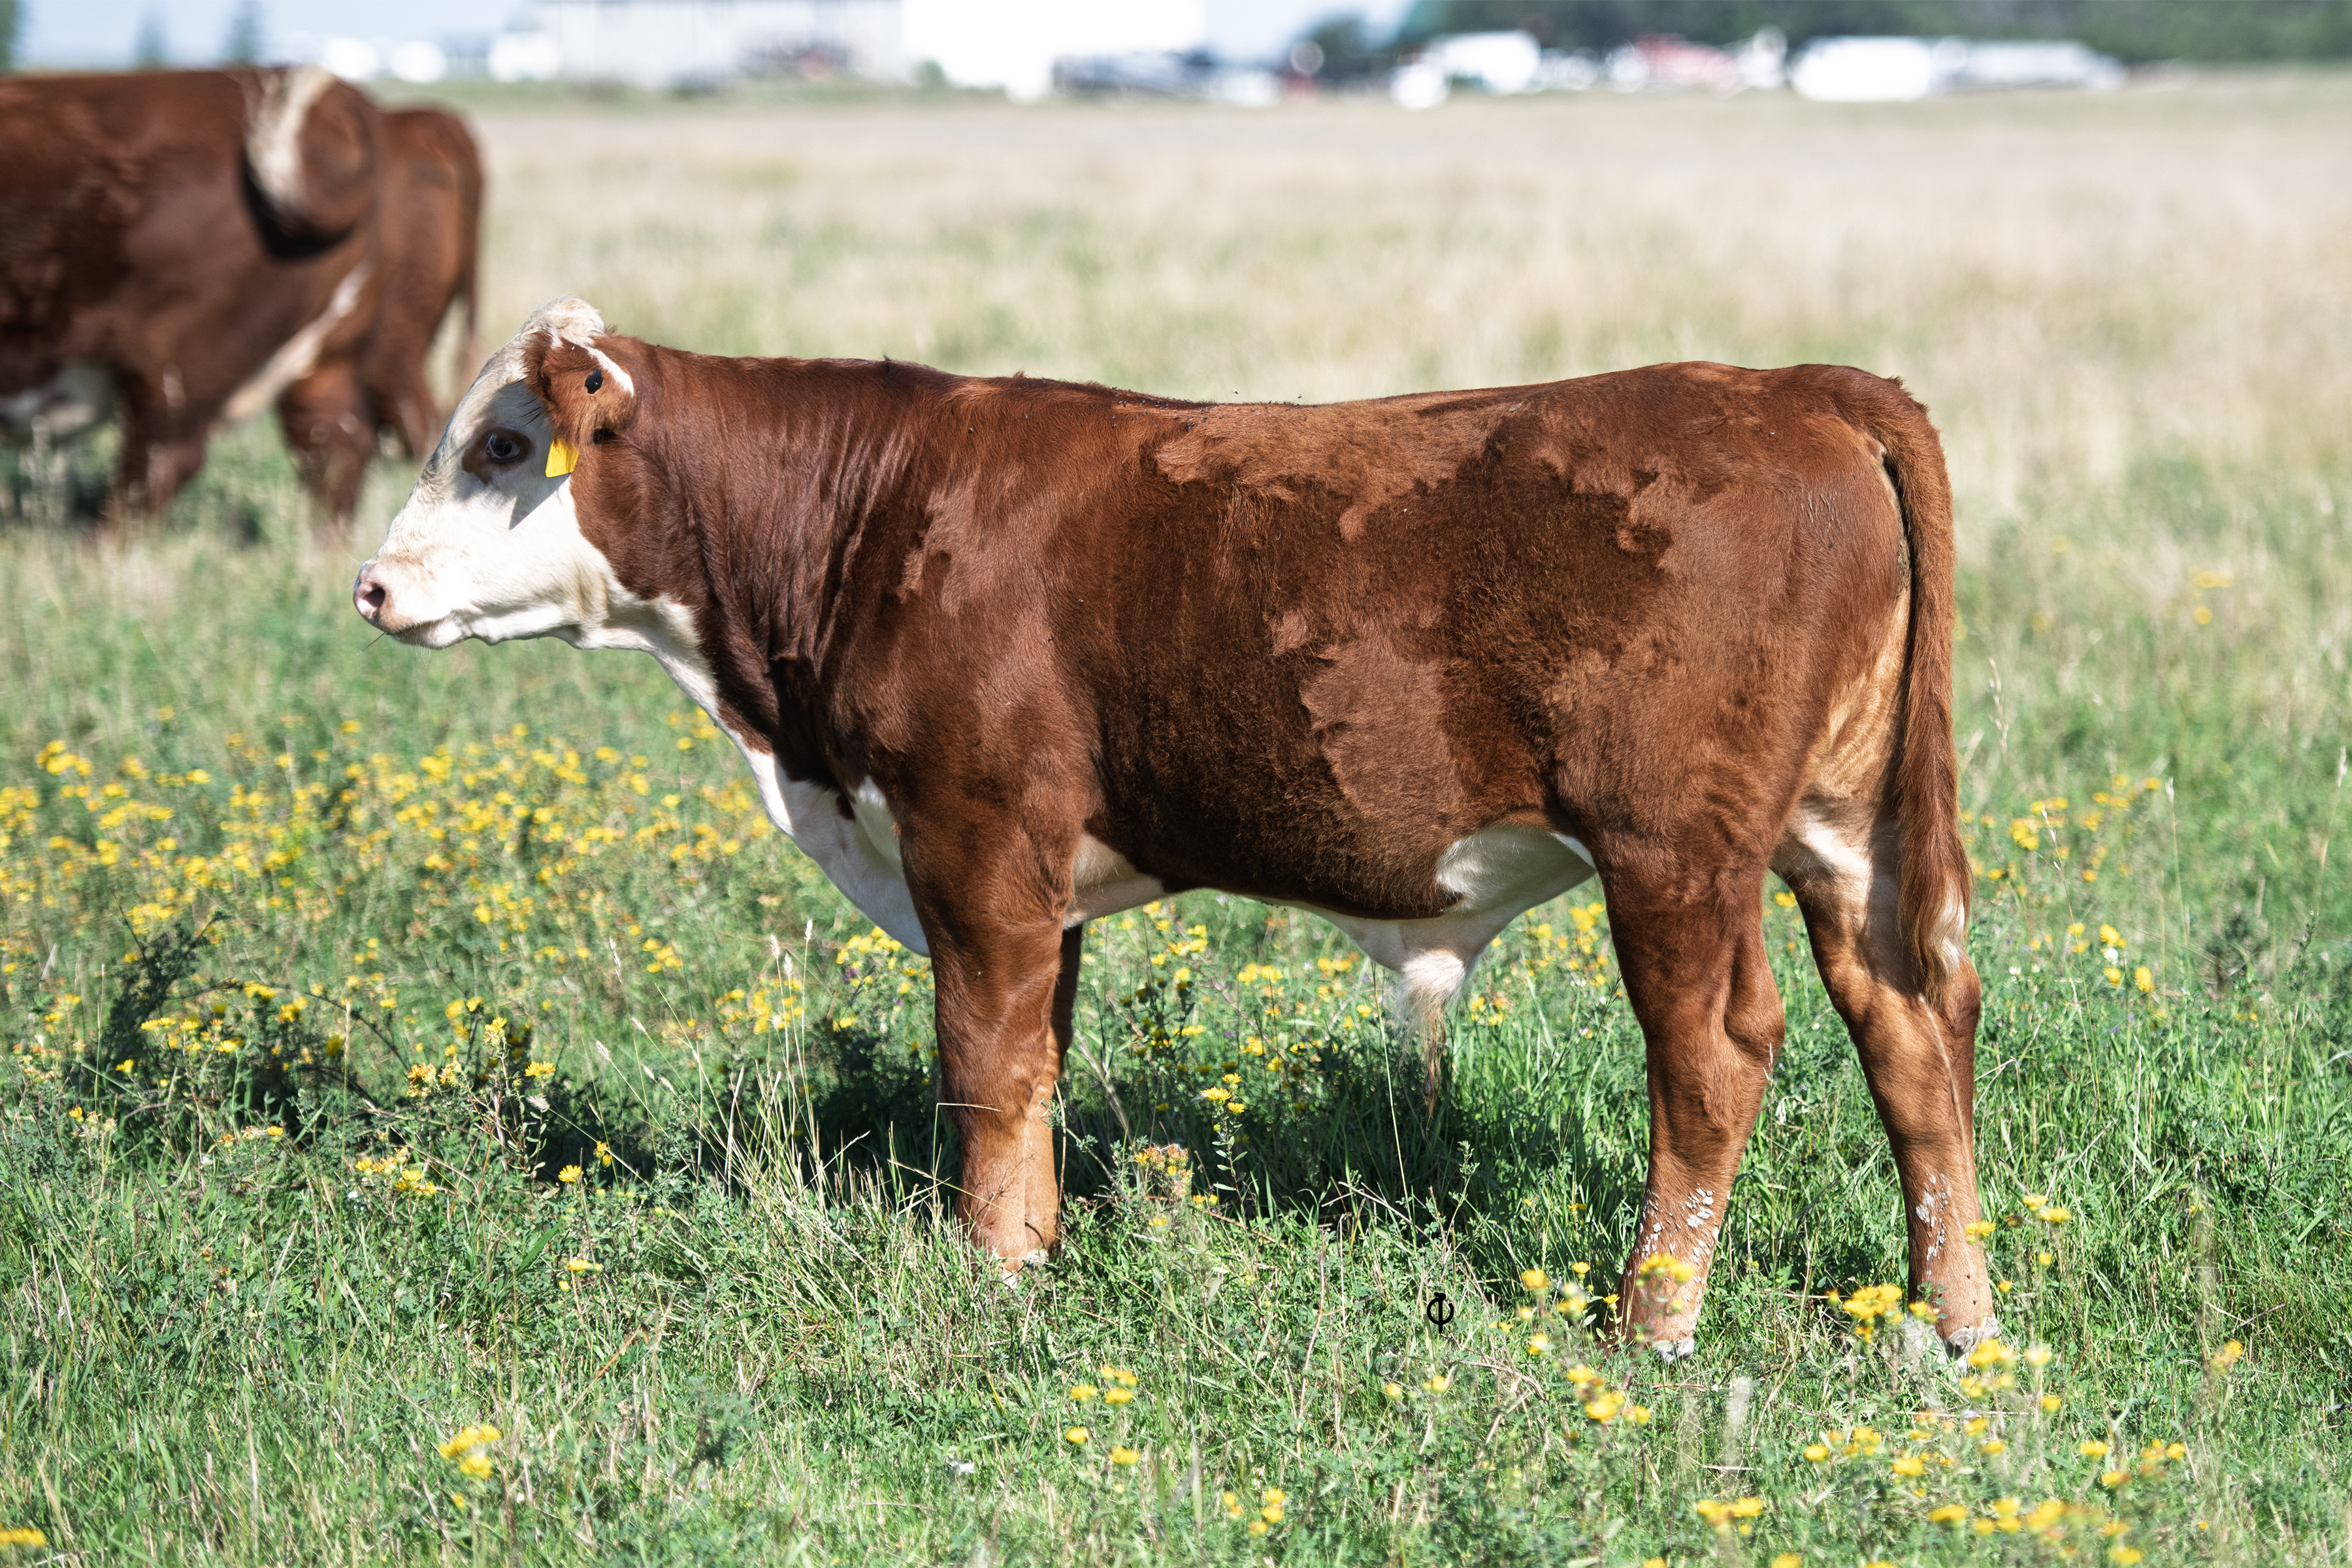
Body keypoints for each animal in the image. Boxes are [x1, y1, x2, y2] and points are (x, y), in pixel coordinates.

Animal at [354, 298, 1997, 1357]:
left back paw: (1650, 1325)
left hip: (1674, 846)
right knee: (1914, 1023)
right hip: (1847, 829)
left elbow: (984, 1062)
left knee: (1714, 1053)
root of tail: (1795, 386)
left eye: (503, 444)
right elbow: (1035, 1064)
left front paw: (992, 1282)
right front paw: (1033, 1252)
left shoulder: (972, 832)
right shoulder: (1031, 871)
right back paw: (1953, 1321)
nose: (369, 587)